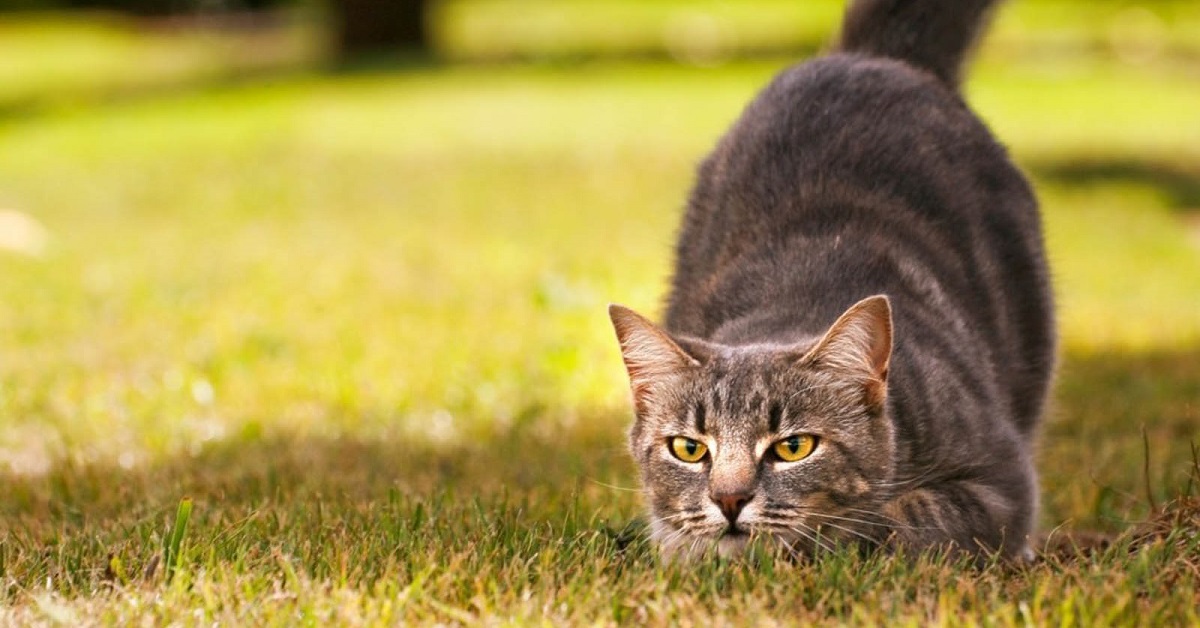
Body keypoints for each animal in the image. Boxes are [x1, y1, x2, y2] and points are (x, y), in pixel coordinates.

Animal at [609, 0, 1051, 564]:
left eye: (793, 447)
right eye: (689, 449)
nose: (729, 499)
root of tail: (869, 57)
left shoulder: (1000, 483)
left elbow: (898, 518)